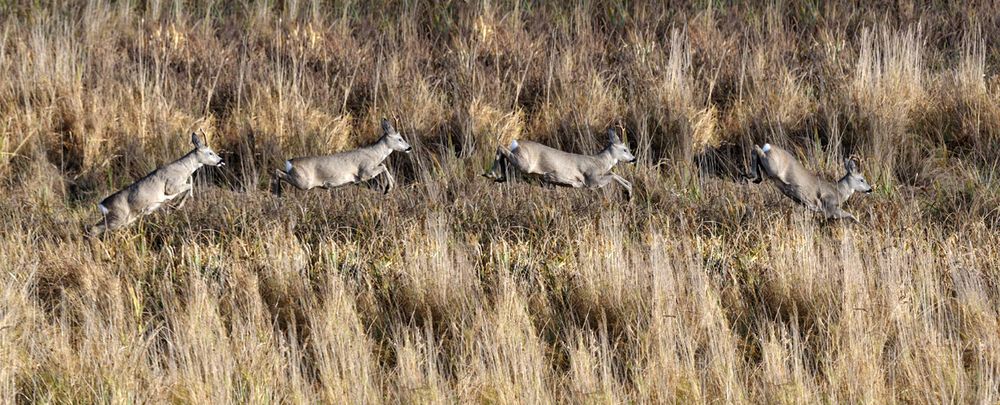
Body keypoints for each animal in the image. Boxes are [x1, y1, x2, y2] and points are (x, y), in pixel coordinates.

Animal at [86, 131, 225, 235]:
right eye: (210, 152)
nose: (221, 160)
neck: (184, 169)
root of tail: (102, 204)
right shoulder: (170, 186)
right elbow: (190, 186)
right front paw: (177, 205)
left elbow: (190, 186)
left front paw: (175, 206)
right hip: (119, 217)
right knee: (93, 229)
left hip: (123, 218)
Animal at [272, 117, 412, 196]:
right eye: (399, 139)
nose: (409, 148)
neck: (374, 154)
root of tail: (289, 162)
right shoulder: (364, 172)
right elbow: (383, 166)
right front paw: (388, 188)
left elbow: (383, 165)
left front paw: (390, 187)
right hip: (304, 182)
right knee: (277, 172)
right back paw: (277, 194)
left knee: (278, 170)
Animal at [482, 126, 636, 196]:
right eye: (625, 149)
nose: (634, 159)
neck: (600, 162)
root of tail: (516, 143)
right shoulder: (591, 180)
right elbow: (612, 175)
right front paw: (628, 192)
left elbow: (614, 175)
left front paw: (629, 192)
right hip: (525, 163)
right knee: (500, 147)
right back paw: (491, 173)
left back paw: (498, 176)